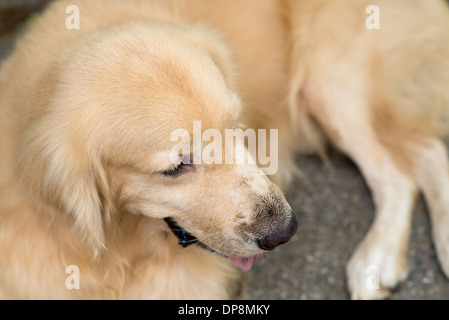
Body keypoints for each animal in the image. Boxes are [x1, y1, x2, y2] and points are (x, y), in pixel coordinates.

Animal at [0, 0, 446, 300]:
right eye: (176, 167)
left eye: (235, 127)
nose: (284, 233)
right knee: (424, 154)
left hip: (330, 76)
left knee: (401, 172)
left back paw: (377, 260)